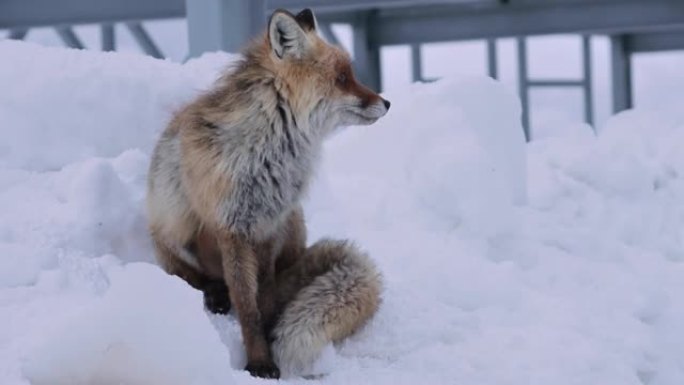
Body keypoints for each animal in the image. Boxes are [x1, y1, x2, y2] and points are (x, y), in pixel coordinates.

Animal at [145, 6, 390, 378]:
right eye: (342, 78)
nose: (387, 102)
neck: (268, 156)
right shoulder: (233, 229)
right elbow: (247, 306)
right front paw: (259, 360)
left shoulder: (269, 226)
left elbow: (265, 296)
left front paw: (272, 332)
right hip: (174, 219)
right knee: (189, 273)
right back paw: (215, 292)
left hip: (295, 222)